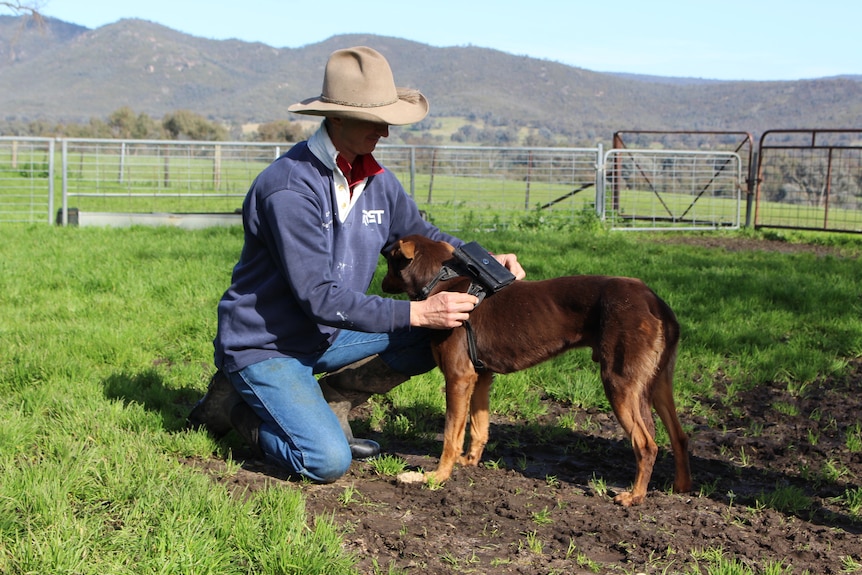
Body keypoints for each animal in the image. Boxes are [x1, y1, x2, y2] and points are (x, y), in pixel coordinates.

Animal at [384, 234, 696, 504]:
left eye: (388, 259)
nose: (382, 283)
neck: (442, 279)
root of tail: (655, 301)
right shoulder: (482, 376)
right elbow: (479, 426)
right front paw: (470, 462)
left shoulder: (459, 376)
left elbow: (451, 435)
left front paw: (436, 477)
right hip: (657, 383)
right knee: (679, 436)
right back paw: (681, 487)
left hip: (620, 383)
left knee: (646, 444)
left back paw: (634, 496)